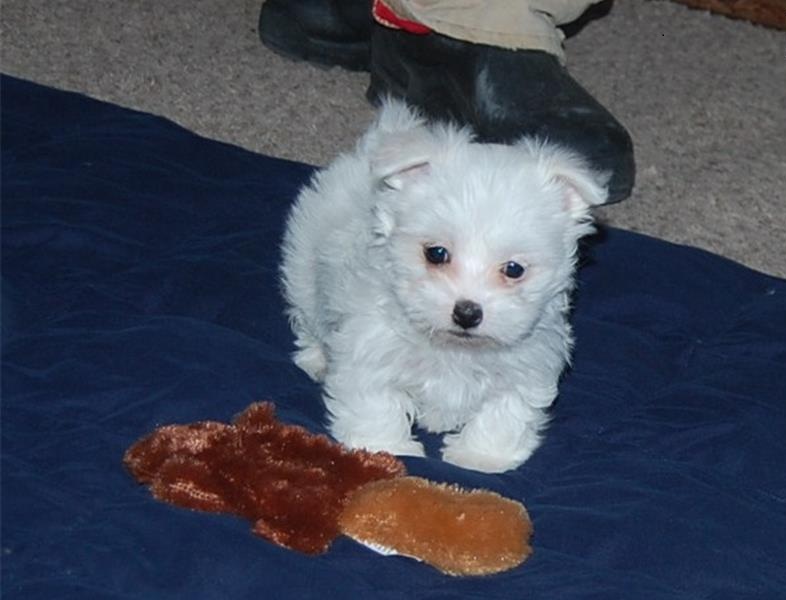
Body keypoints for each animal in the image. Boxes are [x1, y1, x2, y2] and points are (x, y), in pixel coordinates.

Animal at [280, 99, 608, 474]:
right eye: (436, 253)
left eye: (514, 269)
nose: (467, 312)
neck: (455, 349)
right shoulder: (369, 349)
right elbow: (375, 402)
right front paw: (384, 446)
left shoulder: (527, 364)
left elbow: (504, 413)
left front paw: (481, 457)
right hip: (303, 268)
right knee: (307, 318)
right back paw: (316, 359)